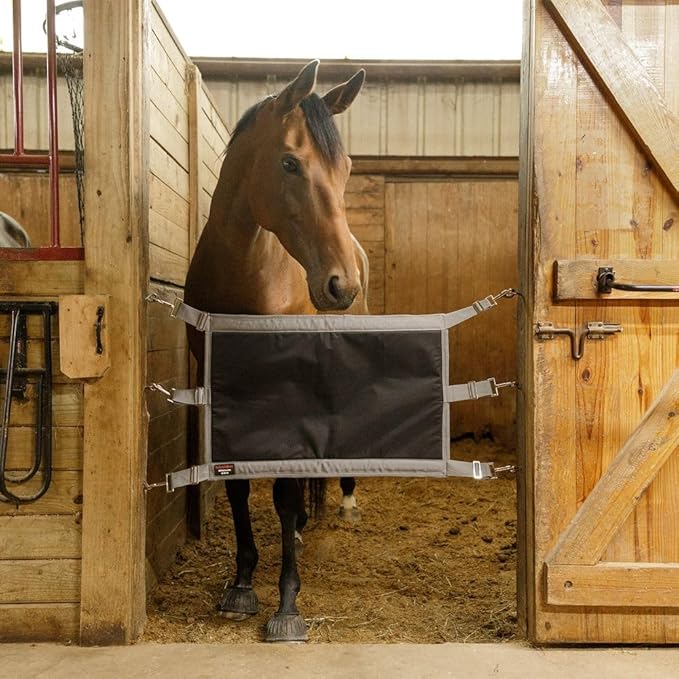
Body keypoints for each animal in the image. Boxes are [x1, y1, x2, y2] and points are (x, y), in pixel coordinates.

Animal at [184, 60, 368, 642]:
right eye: (290, 163)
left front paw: (288, 603)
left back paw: (344, 504)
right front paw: (242, 582)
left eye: (346, 168)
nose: (341, 286)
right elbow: (239, 487)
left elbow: (284, 493)